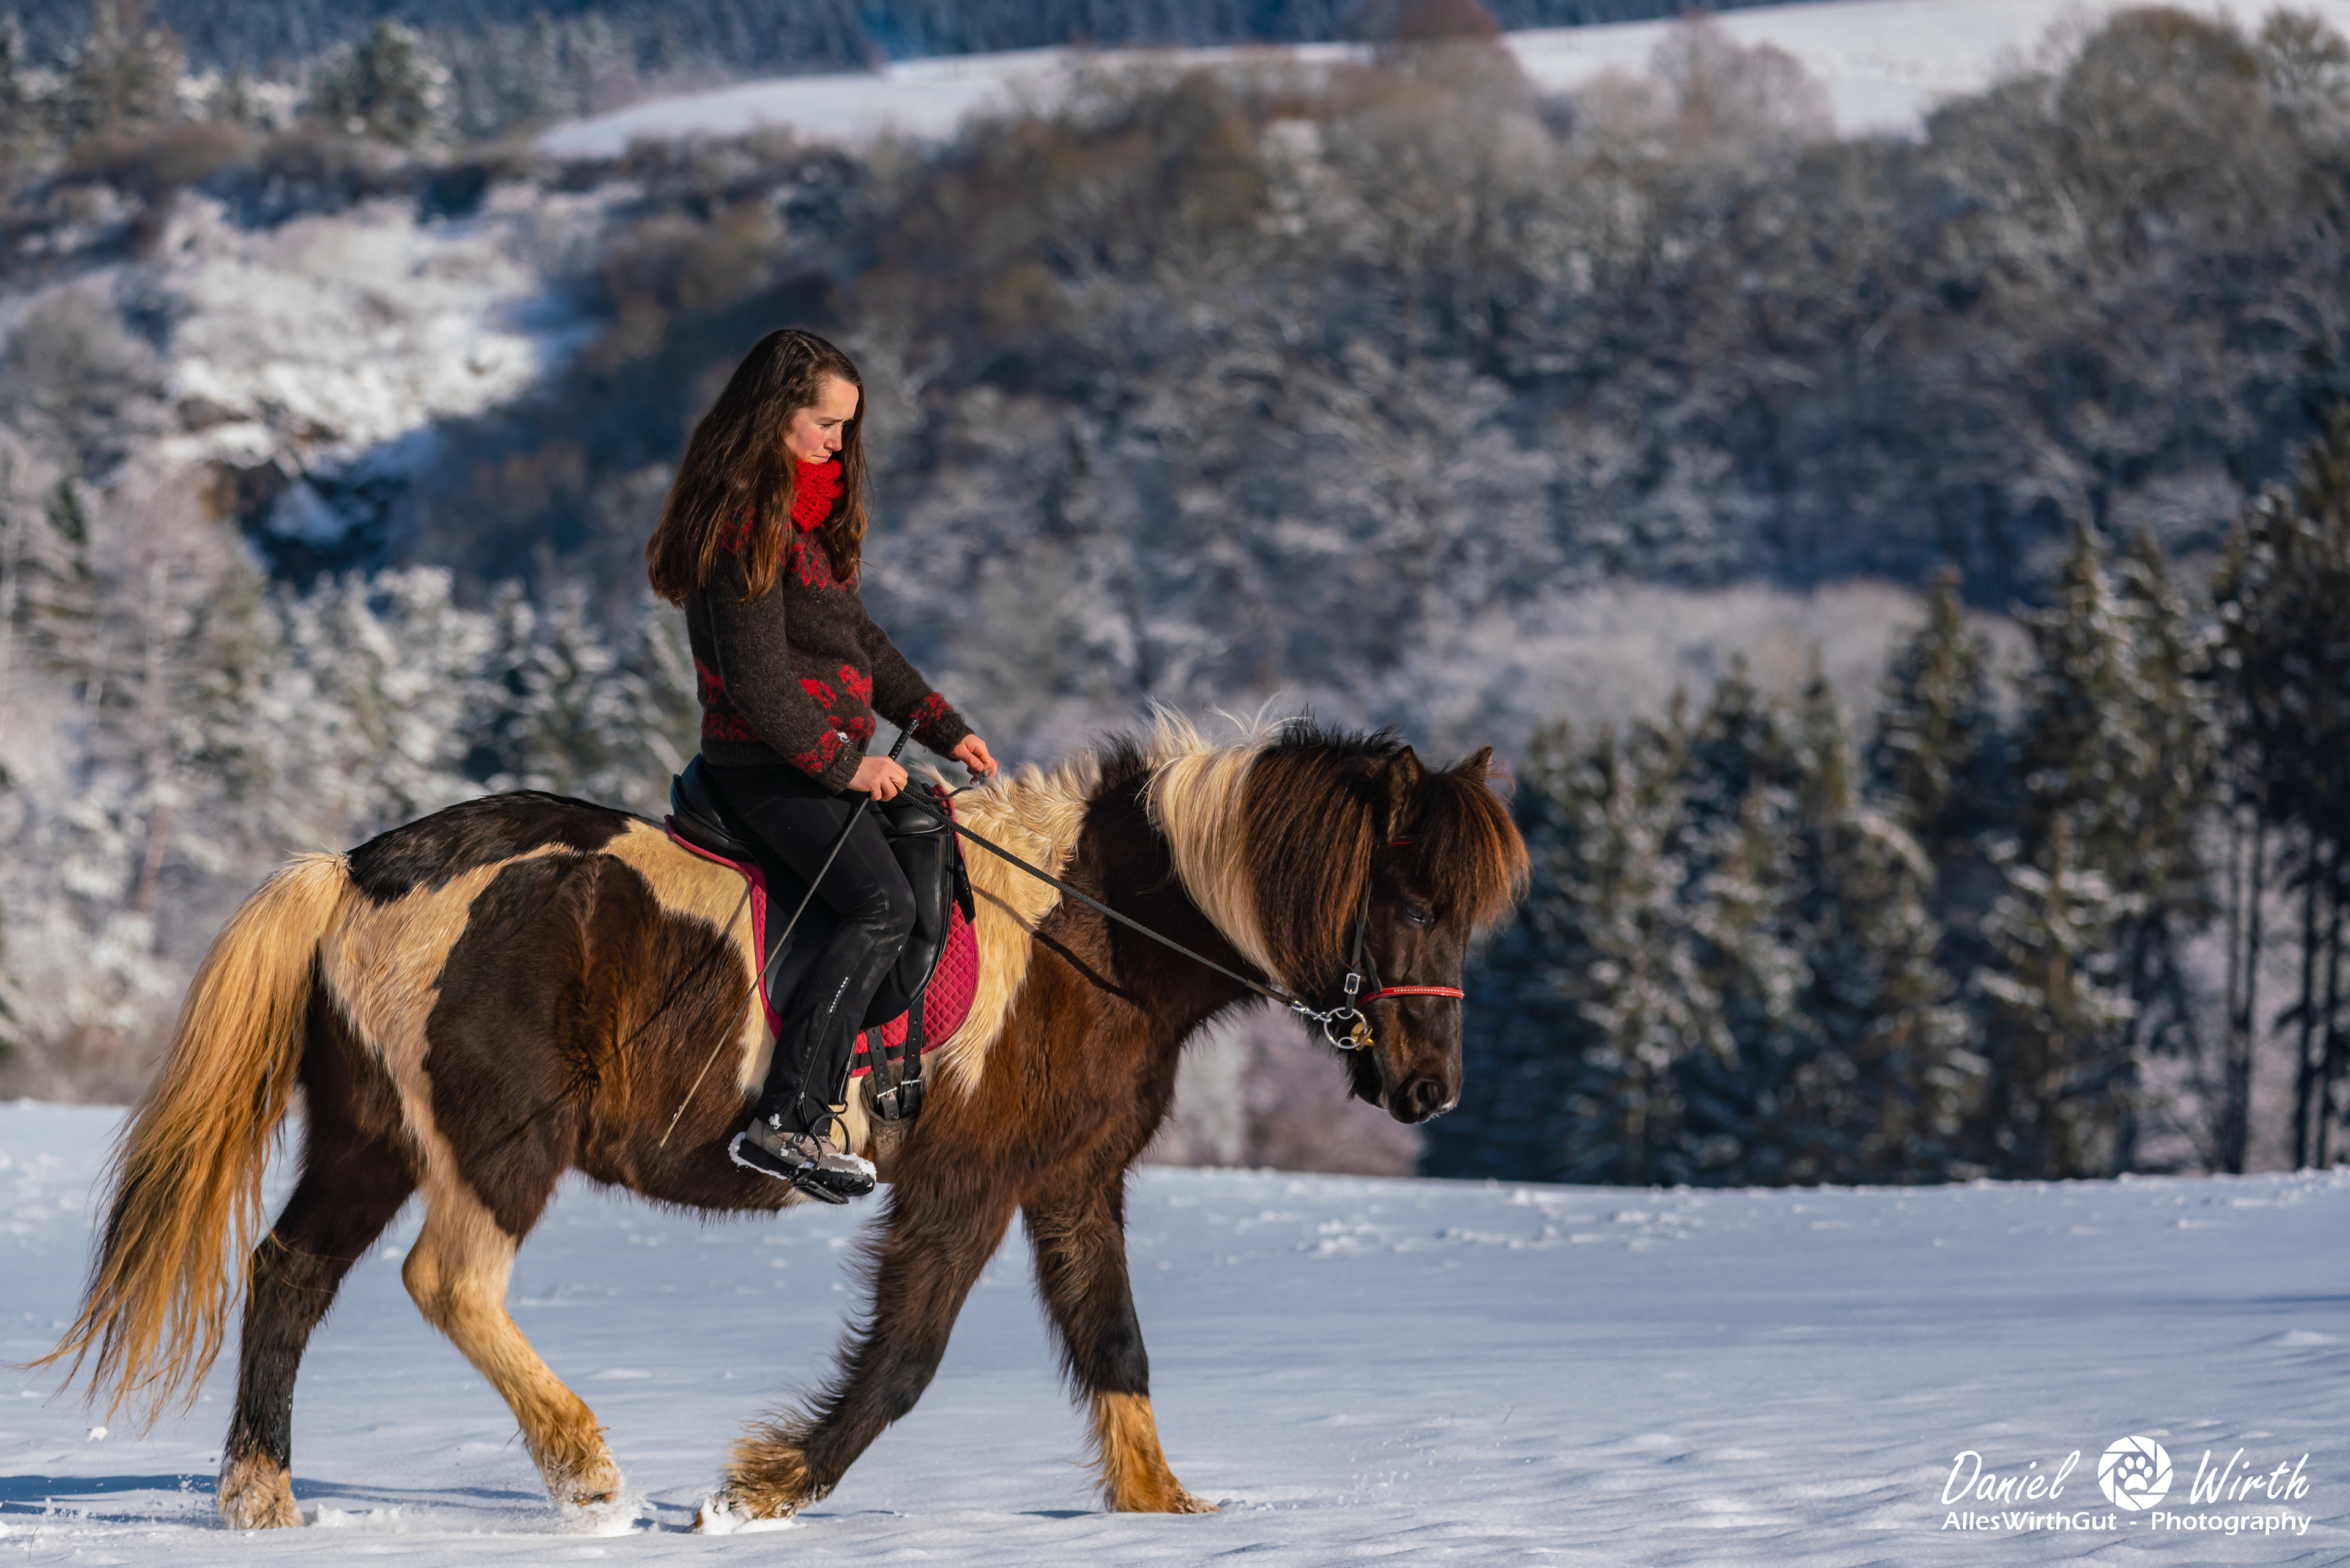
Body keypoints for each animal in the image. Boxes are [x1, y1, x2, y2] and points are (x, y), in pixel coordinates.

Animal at [34, 712, 1526, 1530]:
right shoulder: (966, 1184)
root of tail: (358, 868)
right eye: (1407, 898)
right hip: (492, 1143)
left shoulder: (1072, 1183)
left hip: (369, 1139)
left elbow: (1117, 1348)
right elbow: (907, 1362)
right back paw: (586, 1471)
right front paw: (759, 1488)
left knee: (289, 1275)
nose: (1429, 1089)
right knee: (447, 1281)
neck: (1090, 929)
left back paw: (261, 1500)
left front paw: (1166, 1514)